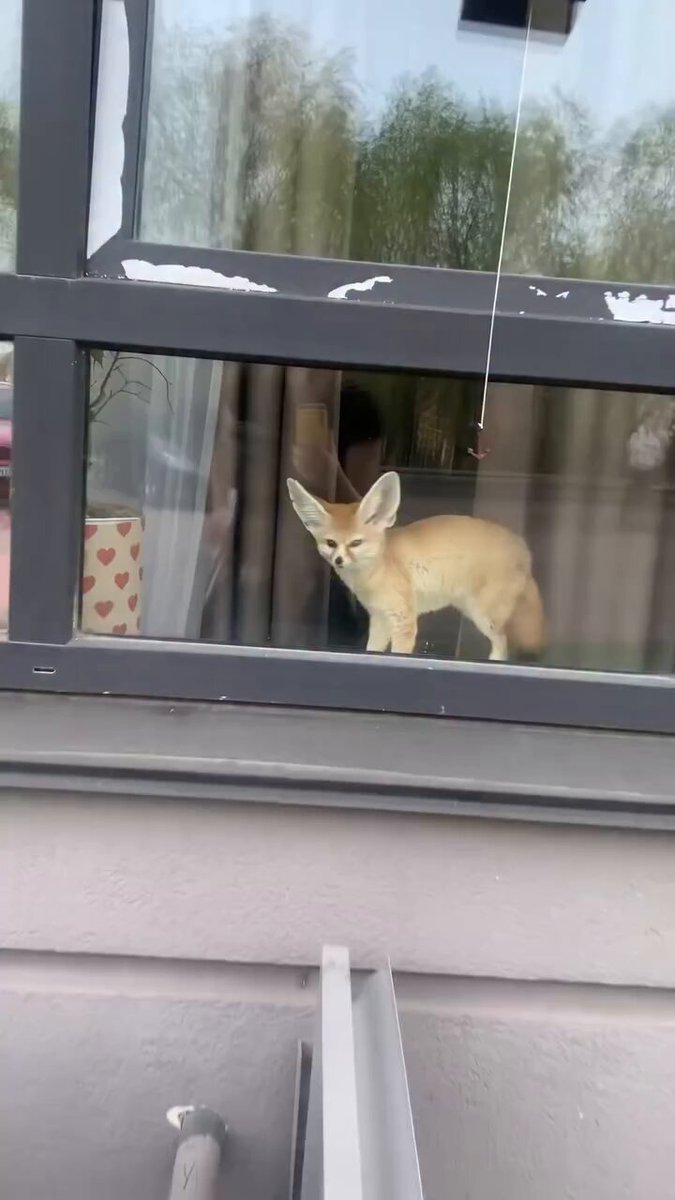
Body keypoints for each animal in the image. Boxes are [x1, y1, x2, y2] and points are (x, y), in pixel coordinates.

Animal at [287, 471, 545, 661]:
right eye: (330, 543)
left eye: (356, 543)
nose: (338, 561)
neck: (377, 570)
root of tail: (524, 546)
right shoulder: (379, 619)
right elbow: (372, 651)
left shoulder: (404, 620)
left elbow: (399, 654)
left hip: (485, 617)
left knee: (503, 645)